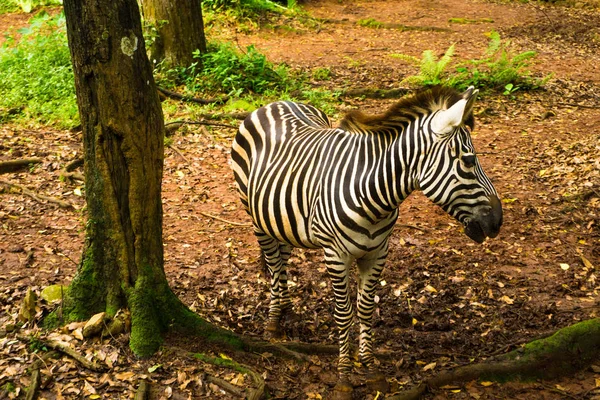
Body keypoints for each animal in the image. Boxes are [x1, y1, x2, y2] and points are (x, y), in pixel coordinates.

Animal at [230, 86, 502, 398]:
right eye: (468, 161)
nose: (498, 221)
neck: (374, 196)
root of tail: (276, 102)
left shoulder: (377, 252)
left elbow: (366, 309)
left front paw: (370, 369)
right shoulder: (336, 255)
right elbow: (344, 314)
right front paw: (344, 377)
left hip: (282, 217)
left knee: (284, 255)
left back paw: (286, 308)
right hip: (255, 215)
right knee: (274, 262)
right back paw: (274, 321)